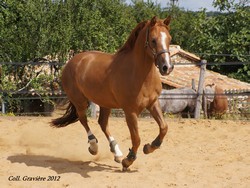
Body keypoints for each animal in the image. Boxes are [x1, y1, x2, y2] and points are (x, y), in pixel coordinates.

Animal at [49, 16, 173, 170]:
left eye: (169, 39)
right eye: (153, 40)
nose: (167, 67)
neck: (139, 74)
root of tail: (71, 62)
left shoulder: (152, 103)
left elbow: (164, 128)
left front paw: (149, 147)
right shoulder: (130, 111)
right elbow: (136, 138)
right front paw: (128, 160)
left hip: (104, 103)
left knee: (102, 123)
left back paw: (117, 153)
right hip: (80, 101)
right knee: (83, 119)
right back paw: (94, 146)